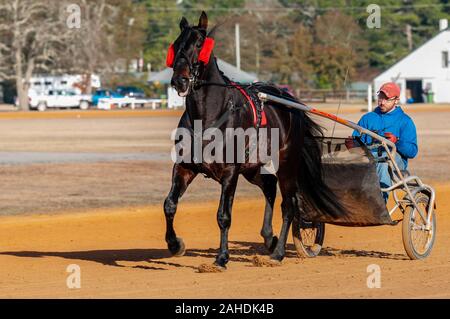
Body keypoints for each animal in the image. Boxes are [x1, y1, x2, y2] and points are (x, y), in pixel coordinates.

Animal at [164, 11, 344, 272]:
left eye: (198, 44)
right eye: (176, 44)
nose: (180, 80)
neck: (208, 115)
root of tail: (290, 104)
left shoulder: (230, 173)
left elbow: (223, 216)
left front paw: (221, 258)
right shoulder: (185, 166)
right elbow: (170, 204)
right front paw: (174, 244)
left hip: (286, 165)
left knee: (288, 205)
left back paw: (277, 253)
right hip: (253, 169)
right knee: (269, 189)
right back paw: (269, 238)